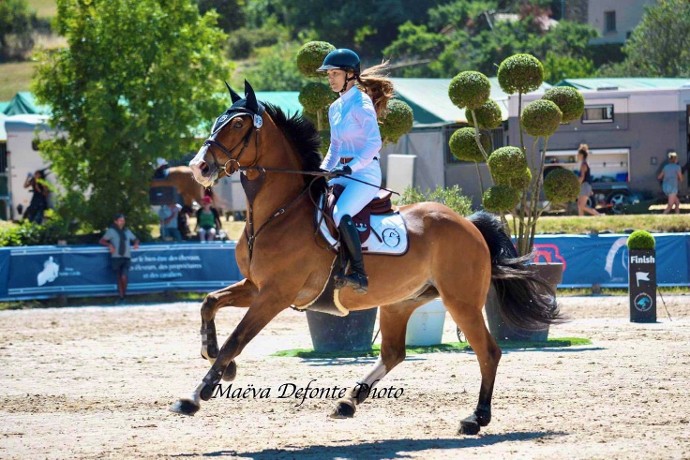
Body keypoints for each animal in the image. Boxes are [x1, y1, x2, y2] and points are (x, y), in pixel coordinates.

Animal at [171, 81, 560, 434]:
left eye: (237, 124)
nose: (198, 167)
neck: (277, 212)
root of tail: (469, 223)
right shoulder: (255, 285)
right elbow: (209, 303)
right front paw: (218, 360)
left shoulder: (275, 294)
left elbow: (236, 338)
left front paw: (196, 395)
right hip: (400, 302)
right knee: (393, 353)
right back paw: (347, 402)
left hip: (460, 300)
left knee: (488, 351)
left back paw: (475, 418)